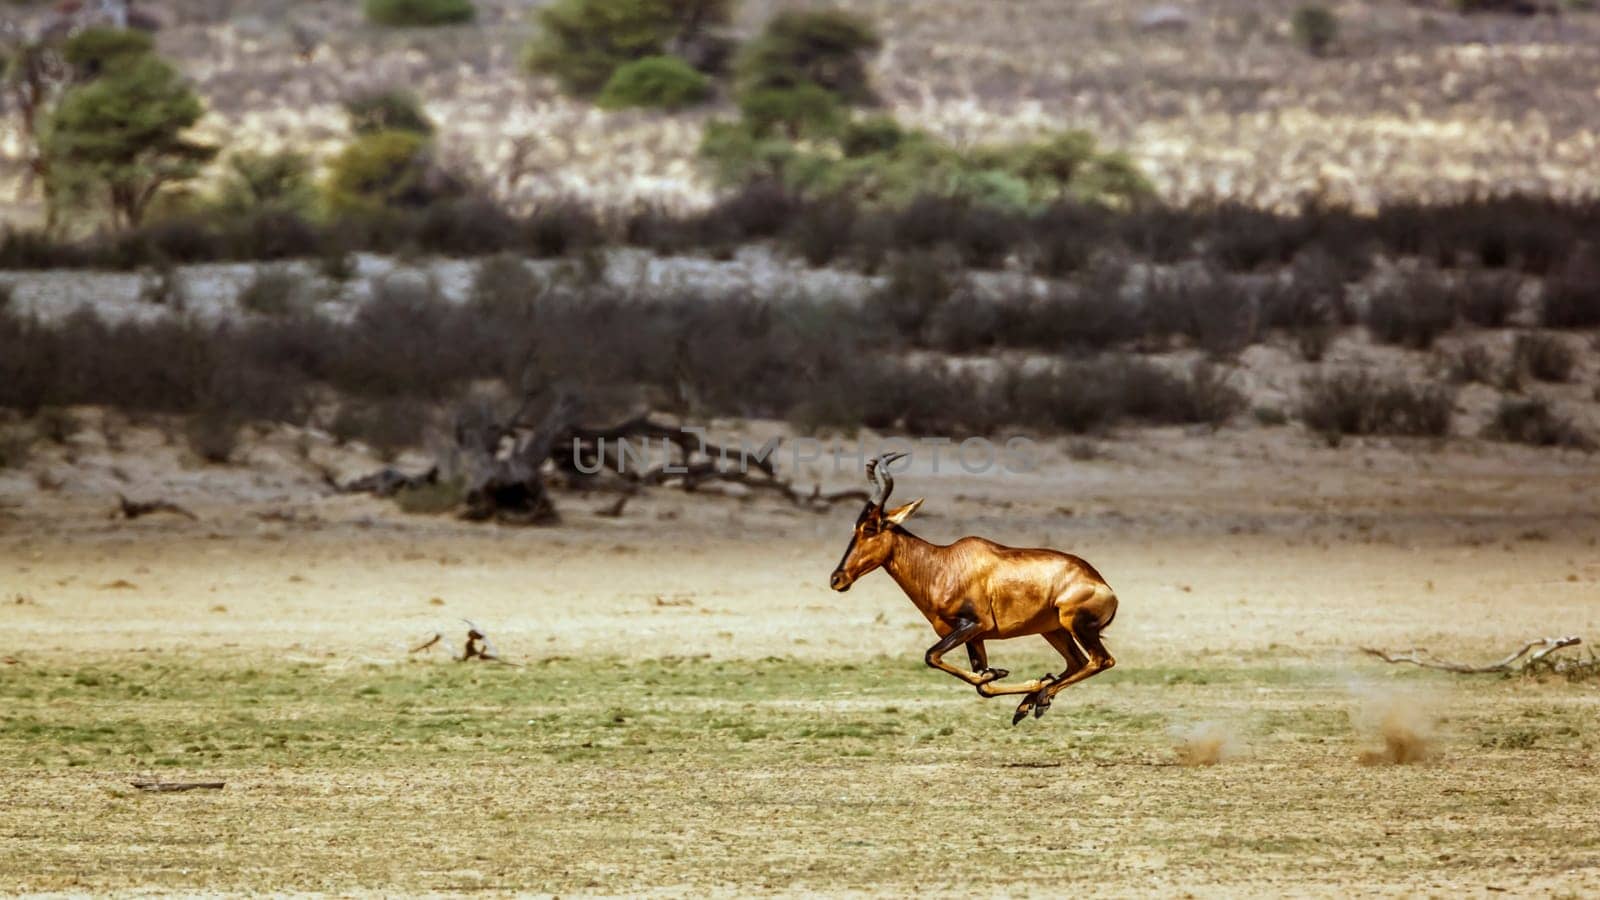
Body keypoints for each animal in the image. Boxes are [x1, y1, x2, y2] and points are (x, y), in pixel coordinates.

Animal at [832, 448, 1120, 720]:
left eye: (870, 528)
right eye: (855, 526)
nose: (837, 579)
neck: (942, 565)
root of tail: (1104, 586)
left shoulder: (973, 624)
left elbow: (932, 656)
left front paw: (1010, 675)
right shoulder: (975, 636)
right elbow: (983, 685)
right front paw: (1005, 675)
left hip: (1076, 625)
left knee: (1101, 660)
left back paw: (1041, 696)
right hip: (1053, 630)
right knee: (1077, 662)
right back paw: (1032, 701)